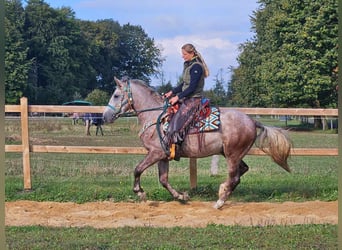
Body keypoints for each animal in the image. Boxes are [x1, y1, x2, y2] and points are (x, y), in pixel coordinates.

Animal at [102, 77, 292, 208]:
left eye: (116, 95)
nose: (105, 116)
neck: (155, 117)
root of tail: (252, 121)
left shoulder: (155, 153)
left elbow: (137, 169)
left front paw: (140, 193)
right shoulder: (163, 155)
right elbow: (163, 179)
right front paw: (181, 196)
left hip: (232, 155)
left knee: (234, 176)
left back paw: (220, 200)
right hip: (231, 153)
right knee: (241, 172)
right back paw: (223, 193)